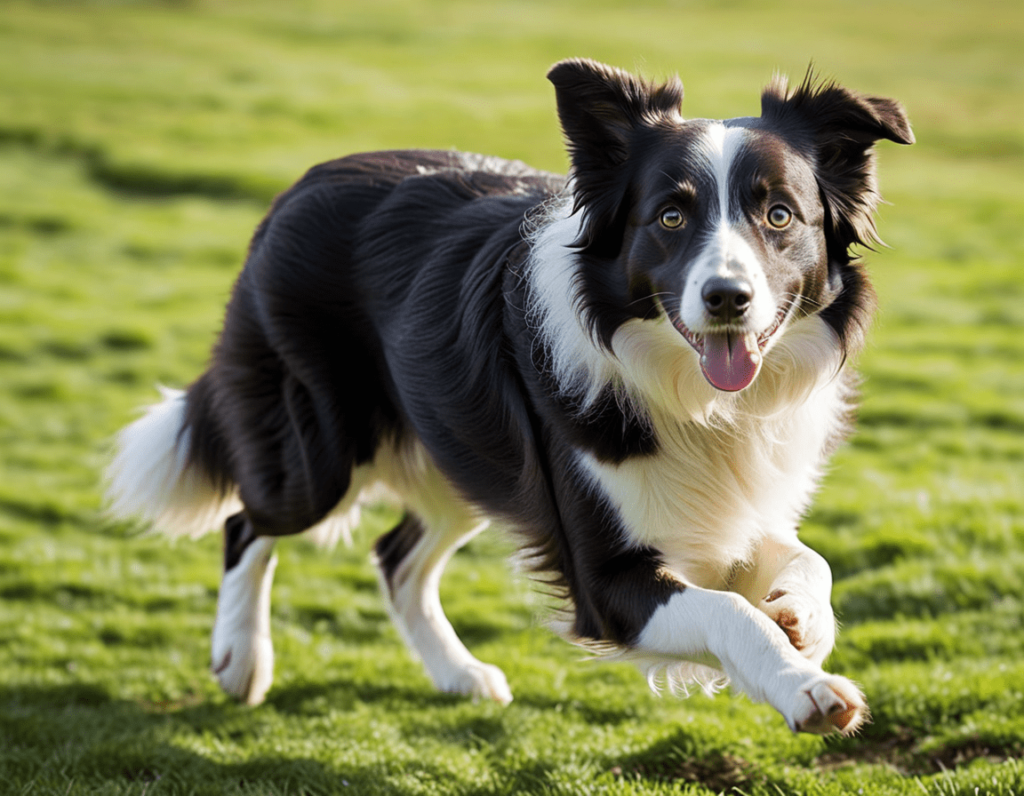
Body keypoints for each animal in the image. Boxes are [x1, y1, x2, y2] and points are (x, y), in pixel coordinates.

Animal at [105, 58, 913, 737]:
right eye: (670, 217)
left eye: (779, 215)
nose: (727, 299)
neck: (691, 396)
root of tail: (301, 185)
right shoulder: (607, 581)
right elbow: (728, 614)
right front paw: (805, 687)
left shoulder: (729, 511)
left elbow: (810, 562)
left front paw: (803, 621)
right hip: (321, 452)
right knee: (248, 521)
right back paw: (241, 660)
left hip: (460, 449)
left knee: (396, 557)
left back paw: (457, 673)